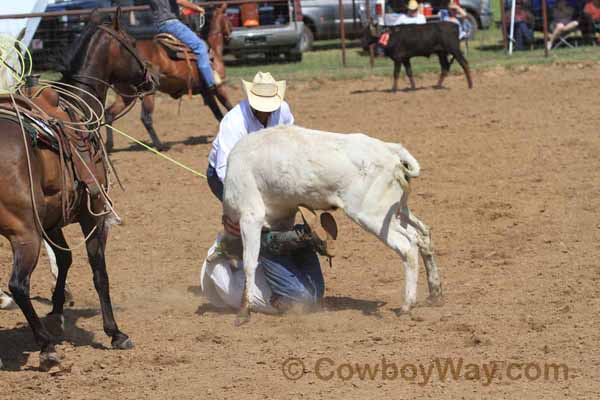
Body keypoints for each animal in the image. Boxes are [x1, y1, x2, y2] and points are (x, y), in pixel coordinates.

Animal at [0, 10, 157, 370]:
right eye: (130, 41)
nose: (151, 75)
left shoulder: (52, 219)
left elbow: (65, 259)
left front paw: (57, 313)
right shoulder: (91, 214)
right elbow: (99, 270)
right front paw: (115, 332)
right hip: (24, 234)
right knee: (18, 285)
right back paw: (46, 348)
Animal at [104, 4, 233, 152]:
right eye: (228, 18)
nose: (231, 34)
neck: (212, 50)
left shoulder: (205, 92)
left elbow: (218, 112)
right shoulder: (218, 87)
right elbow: (227, 108)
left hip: (126, 94)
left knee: (109, 113)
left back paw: (109, 145)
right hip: (148, 92)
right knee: (146, 118)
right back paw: (160, 146)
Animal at [223, 125, 442, 322]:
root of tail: (389, 150)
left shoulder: (250, 217)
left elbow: (249, 263)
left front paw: (244, 311)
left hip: (373, 216)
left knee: (407, 246)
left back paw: (407, 305)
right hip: (398, 211)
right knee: (422, 235)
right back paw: (435, 293)